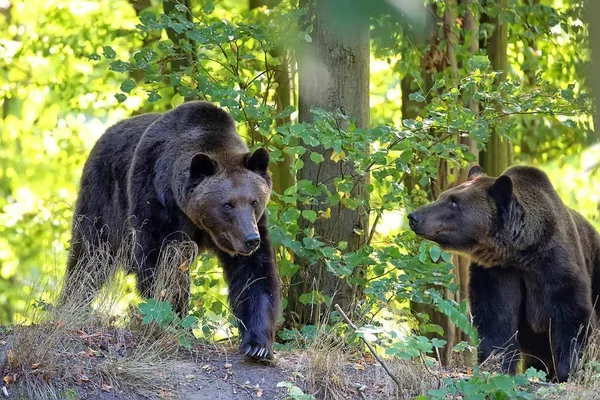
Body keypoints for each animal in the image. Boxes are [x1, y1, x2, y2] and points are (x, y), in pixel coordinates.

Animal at [62, 100, 282, 360]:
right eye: (227, 204)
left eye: (254, 201)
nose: (250, 239)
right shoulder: (156, 202)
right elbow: (160, 264)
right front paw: (173, 321)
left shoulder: (252, 228)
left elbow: (254, 274)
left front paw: (258, 345)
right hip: (103, 198)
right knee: (89, 256)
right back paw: (72, 303)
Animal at [408, 165, 600, 382]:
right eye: (442, 196)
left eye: (454, 201)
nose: (414, 217)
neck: (519, 252)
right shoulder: (496, 272)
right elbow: (496, 318)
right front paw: (497, 366)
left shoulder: (554, 266)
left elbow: (572, 316)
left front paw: (570, 371)